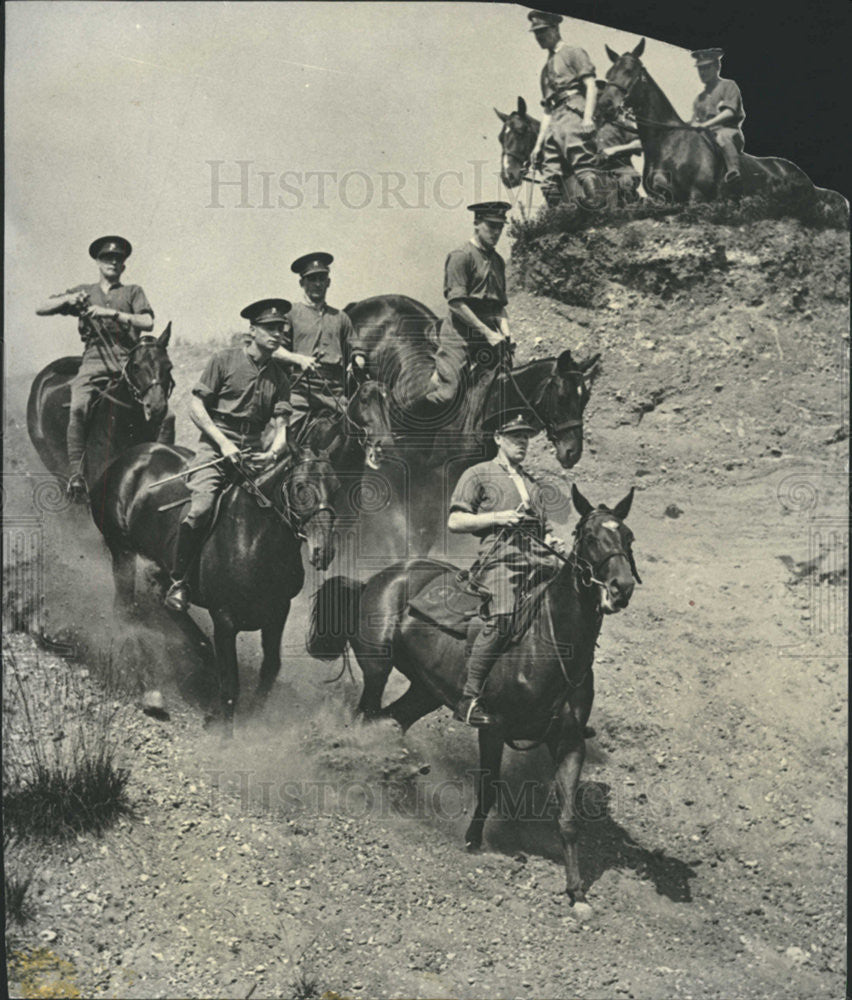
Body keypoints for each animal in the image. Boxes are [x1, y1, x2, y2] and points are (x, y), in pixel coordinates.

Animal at [89, 442, 336, 732]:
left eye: (337, 486)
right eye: (300, 486)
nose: (323, 551)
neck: (253, 536)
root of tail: (125, 460)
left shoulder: (277, 612)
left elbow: (270, 669)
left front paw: (251, 719)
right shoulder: (225, 618)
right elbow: (231, 684)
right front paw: (226, 734)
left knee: (167, 604)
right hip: (122, 551)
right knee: (126, 612)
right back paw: (149, 691)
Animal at [306, 480, 640, 904]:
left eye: (628, 537)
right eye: (591, 537)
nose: (621, 588)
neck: (549, 643)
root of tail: (375, 581)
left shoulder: (569, 741)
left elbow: (567, 817)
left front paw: (576, 890)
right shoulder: (492, 728)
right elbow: (489, 788)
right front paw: (472, 841)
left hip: (426, 691)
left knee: (391, 719)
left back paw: (400, 769)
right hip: (377, 669)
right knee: (366, 717)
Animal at [596, 39, 816, 203]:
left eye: (629, 70)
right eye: (609, 73)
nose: (604, 105)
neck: (668, 143)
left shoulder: (696, 197)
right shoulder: (662, 199)